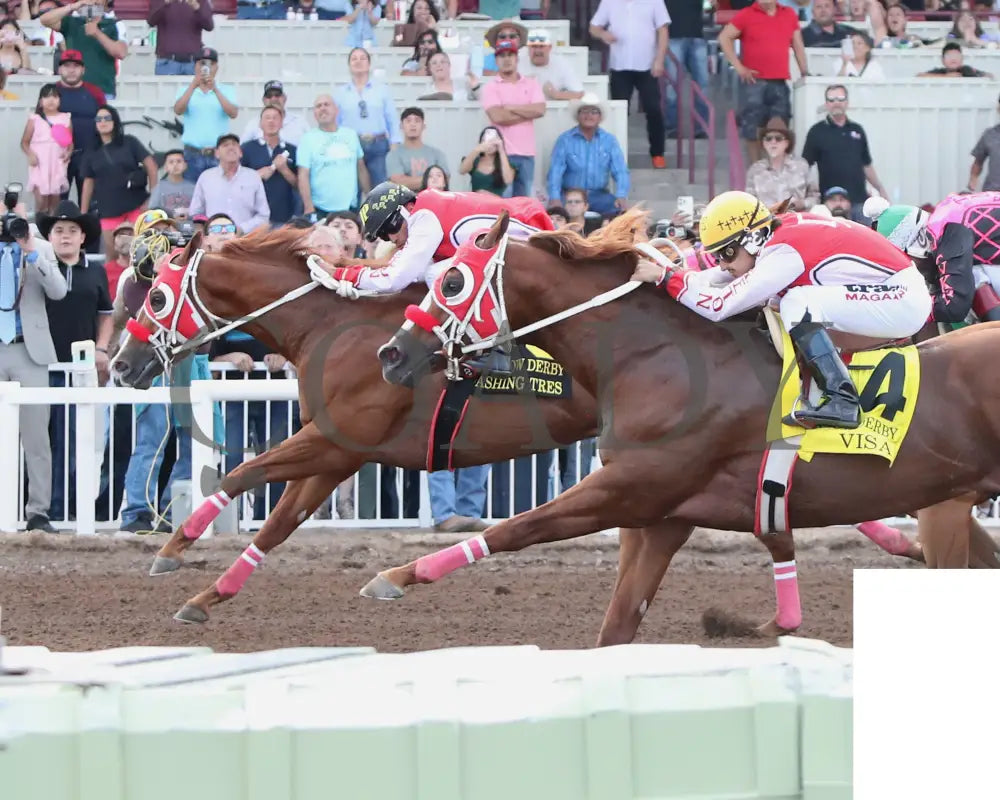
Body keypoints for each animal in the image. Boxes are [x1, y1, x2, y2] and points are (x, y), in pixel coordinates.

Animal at [109, 227, 934, 641]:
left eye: (152, 296)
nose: (119, 363)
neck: (333, 322)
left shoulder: (341, 439)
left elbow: (244, 474)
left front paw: (174, 549)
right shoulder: (347, 449)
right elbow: (277, 520)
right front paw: (208, 593)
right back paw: (895, 543)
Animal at [372, 210, 1000, 633]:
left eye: (451, 281)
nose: (392, 353)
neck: (657, 359)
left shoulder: (631, 487)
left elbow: (515, 528)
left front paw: (396, 577)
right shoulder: (658, 518)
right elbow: (617, 624)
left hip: (943, 504)